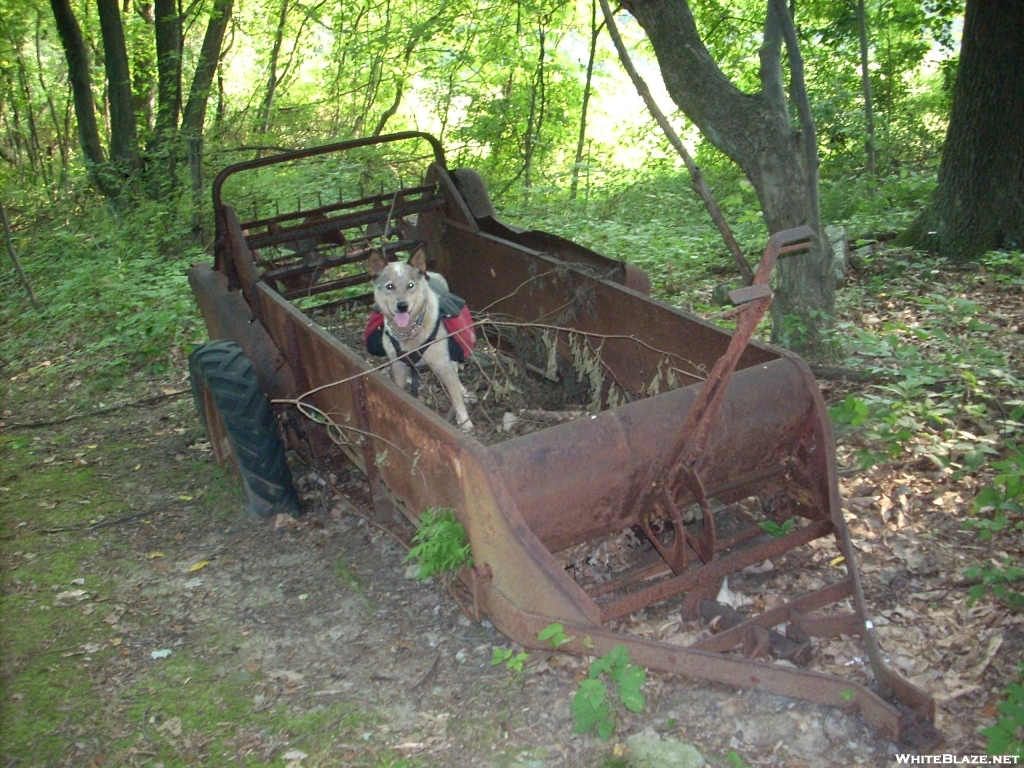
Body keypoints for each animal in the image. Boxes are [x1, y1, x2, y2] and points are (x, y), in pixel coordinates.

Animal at [364, 244, 475, 430]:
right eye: (389, 286)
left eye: (410, 285)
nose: (402, 306)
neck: (410, 331)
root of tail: (430, 272)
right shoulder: (399, 365)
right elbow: (399, 388)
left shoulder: (443, 364)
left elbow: (456, 397)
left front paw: (465, 422)